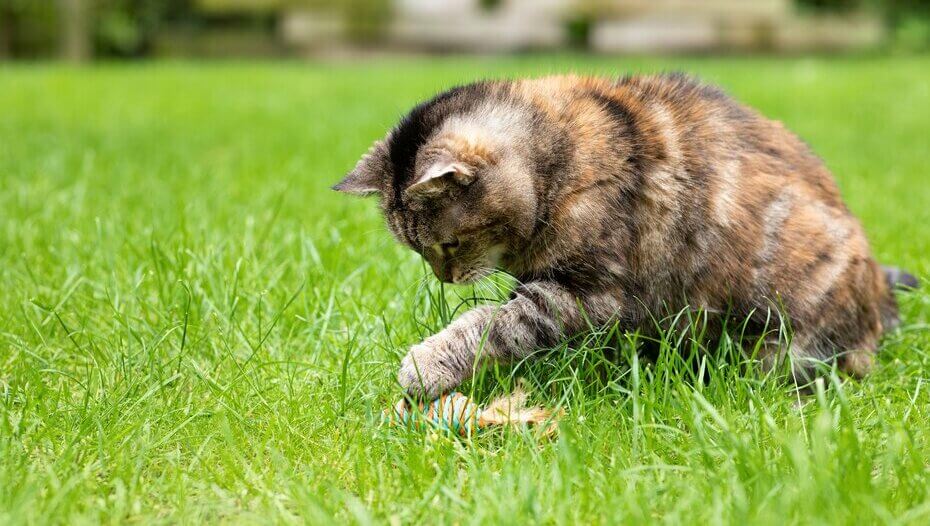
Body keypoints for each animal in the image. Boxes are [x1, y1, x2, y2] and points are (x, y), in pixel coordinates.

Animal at [332, 74, 912, 400]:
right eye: (418, 250)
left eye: (446, 246)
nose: (445, 278)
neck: (557, 160)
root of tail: (882, 299)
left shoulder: (588, 295)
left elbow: (492, 323)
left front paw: (426, 366)